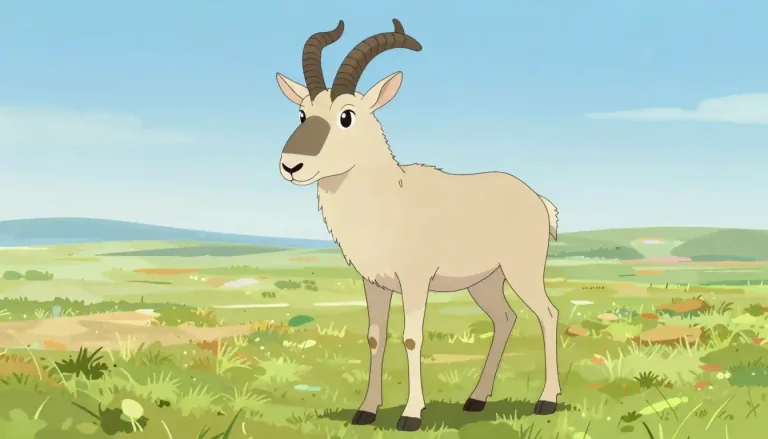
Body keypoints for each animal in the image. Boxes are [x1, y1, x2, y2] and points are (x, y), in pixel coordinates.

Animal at [275, 19, 562, 431]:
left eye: (347, 115)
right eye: (301, 113)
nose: (292, 165)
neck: (388, 199)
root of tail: (538, 199)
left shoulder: (414, 281)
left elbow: (412, 337)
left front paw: (410, 415)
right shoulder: (374, 283)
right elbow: (375, 337)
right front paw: (366, 410)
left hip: (522, 271)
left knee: (548, 315)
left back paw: (546, 401)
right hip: (486, 282)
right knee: (506, 318)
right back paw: (476, 400)